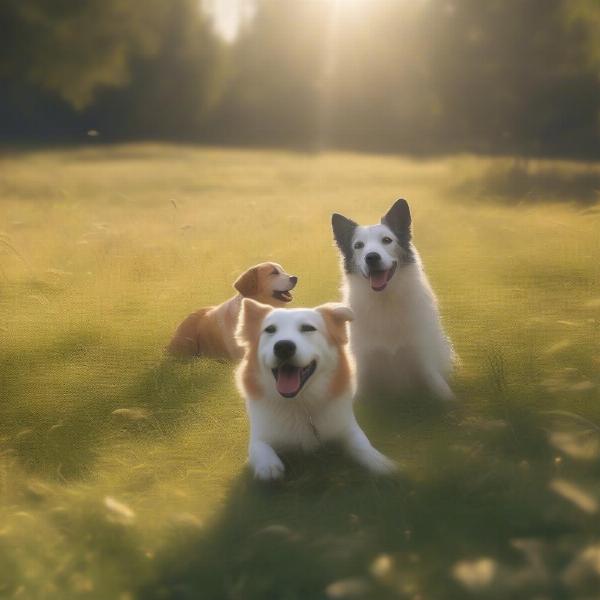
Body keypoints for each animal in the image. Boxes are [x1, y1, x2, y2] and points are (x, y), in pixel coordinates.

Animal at [236, 300, 398, 482]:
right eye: (270, 329)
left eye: (308, 328)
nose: (283, 346)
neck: (299, 403)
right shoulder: (260, 436)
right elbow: (259, 448)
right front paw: (268, 467)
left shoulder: (347, 427)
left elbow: (362, 444)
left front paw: (381, 463)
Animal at [330, 199, 452, 400]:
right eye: (358, 245)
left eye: (386, 240)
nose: (371, 257)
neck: (385, 300)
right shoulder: (363, 364)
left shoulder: (423, 359)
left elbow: (441, 391)